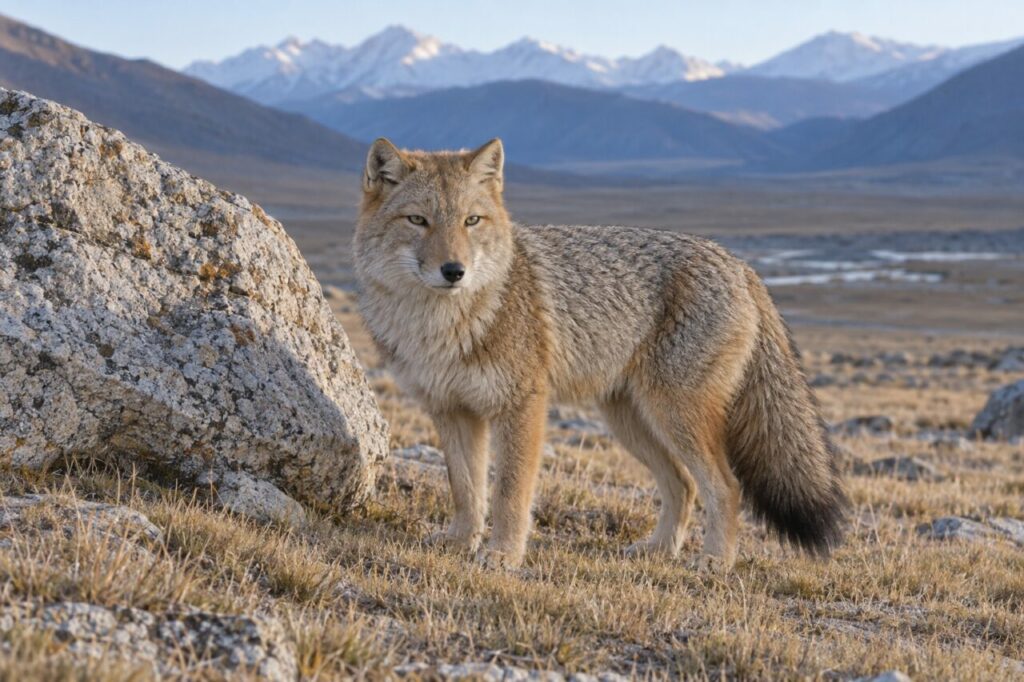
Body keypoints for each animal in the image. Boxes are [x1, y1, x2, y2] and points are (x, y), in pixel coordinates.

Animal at [354, 137, 847, 570]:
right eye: (418, 221)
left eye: (471, 221)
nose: (454, 271)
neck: (441, 326)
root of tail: (740, 265)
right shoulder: (451, 410)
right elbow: (465, 489)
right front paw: (460, 542)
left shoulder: (522, 406)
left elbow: (510, 492)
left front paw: (503, 555)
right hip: (631, 420)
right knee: (684, 485)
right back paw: (658, 550)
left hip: (674, 415)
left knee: (725, 488)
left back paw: (714, 562)